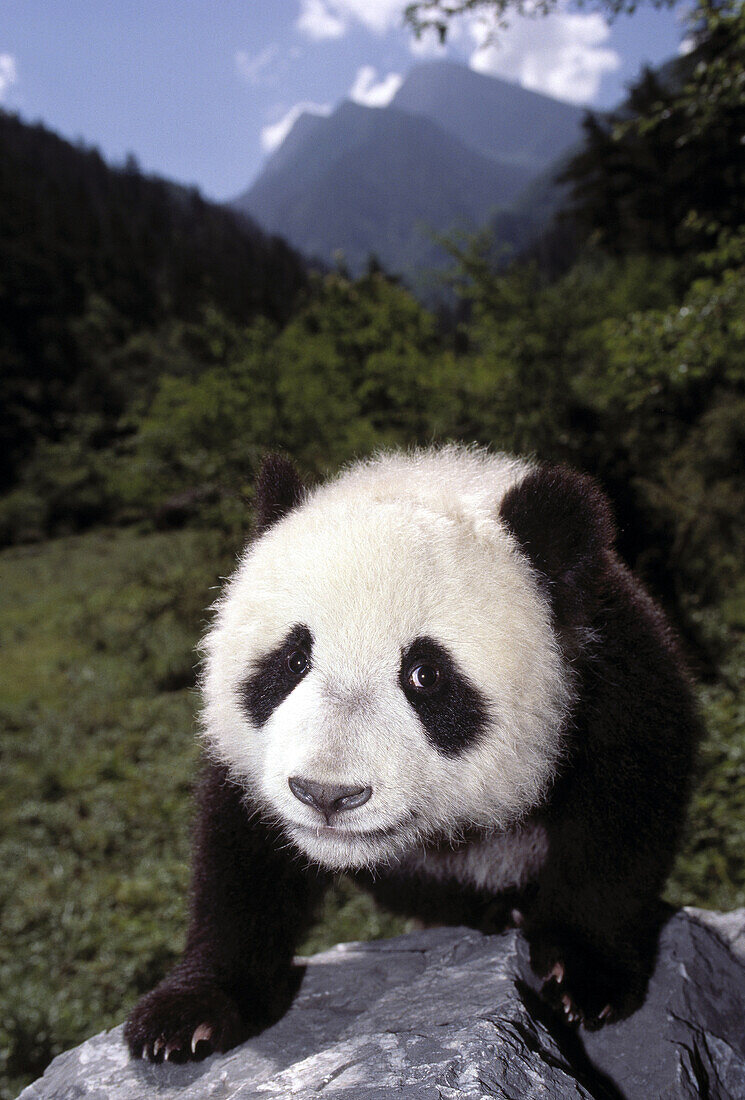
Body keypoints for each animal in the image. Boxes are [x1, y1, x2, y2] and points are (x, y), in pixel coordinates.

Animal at [124, 448, 699, 1064]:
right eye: (294, 660)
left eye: (425, 675)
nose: (327, 795)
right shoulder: (256, 760)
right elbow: (240, 853)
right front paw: (189, 1014)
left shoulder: (609, 665)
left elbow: (624, 806)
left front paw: (584, 976)